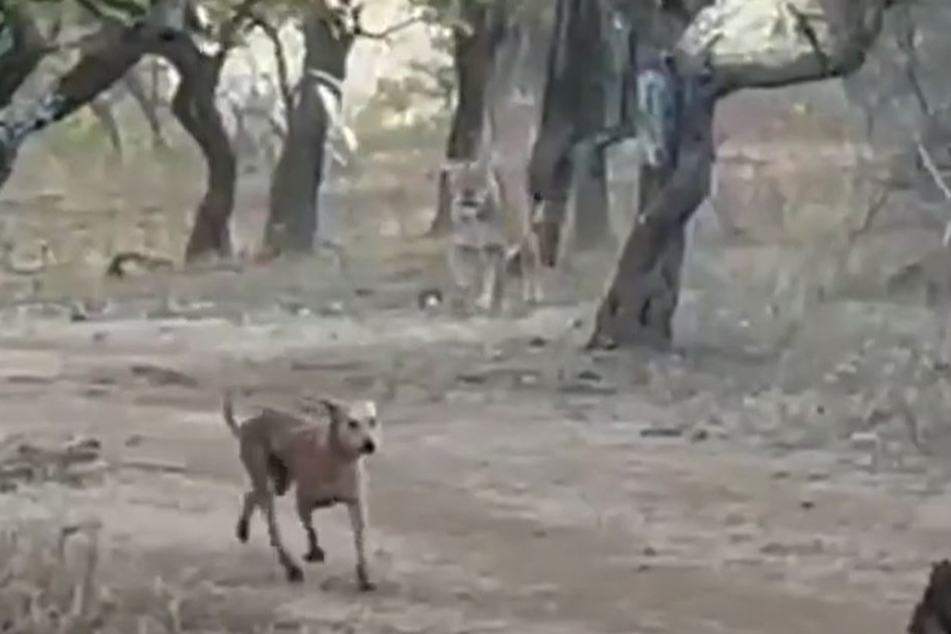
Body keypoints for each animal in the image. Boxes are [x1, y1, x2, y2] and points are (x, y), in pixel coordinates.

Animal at [224, 388, 384, 592]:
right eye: (352, 423)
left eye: (372, 421)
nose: (370, 445)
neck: (339, 460)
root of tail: (248, 424)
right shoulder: (303, 502)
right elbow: (311, 529)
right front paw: (314, 551)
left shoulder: (356, 504)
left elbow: (360, 539)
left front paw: (364, 576)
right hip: (264, 478)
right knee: (272, 526)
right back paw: (291, 568)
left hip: (280, 483)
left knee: (252, 494)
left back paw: (243, 528)